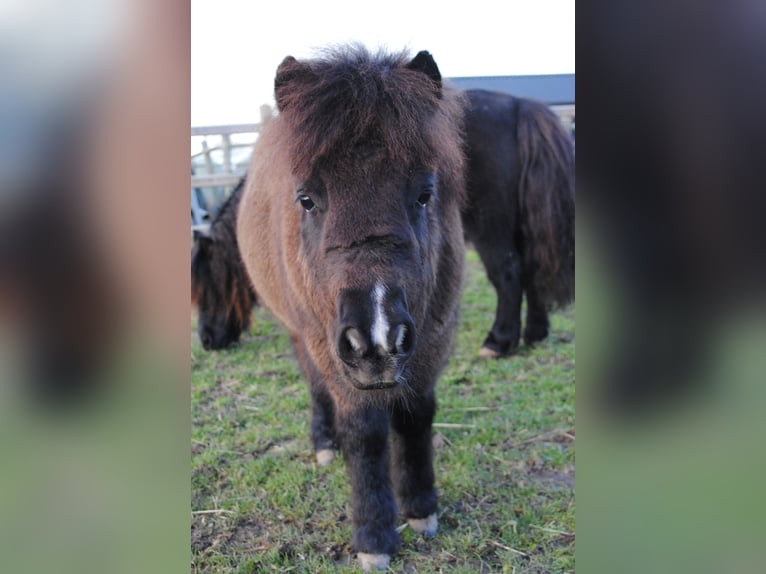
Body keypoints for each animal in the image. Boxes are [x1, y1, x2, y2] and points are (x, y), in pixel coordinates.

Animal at [240, 46, 464, 572]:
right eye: (306, 199)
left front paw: (420, 508)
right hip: (304, 337)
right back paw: (326, 443)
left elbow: (416, 416)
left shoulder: (432, 342)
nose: (376, 339)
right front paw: (374, 535)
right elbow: (365, 434)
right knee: (316, 385)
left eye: (425, 193)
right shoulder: (333, 353)